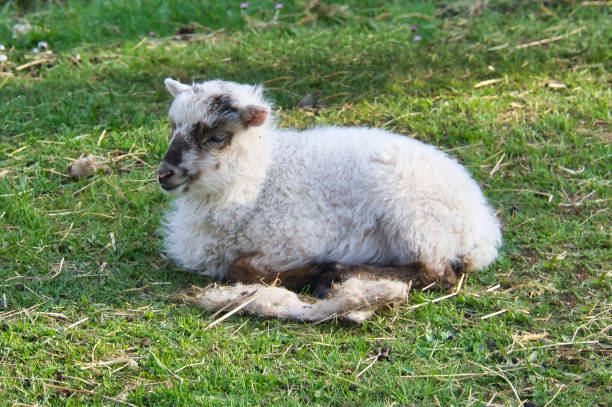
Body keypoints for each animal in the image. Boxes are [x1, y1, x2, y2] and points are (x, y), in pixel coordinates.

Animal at [158, 78, 502, 324]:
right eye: (173, 127)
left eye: (217, 137)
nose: (164, 174)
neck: (259, 182)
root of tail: (483, 230)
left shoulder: (295, 240)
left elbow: (239, 269)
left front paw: (315, 272)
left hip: (414, 219)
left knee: (438, 274)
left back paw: (337, 274)